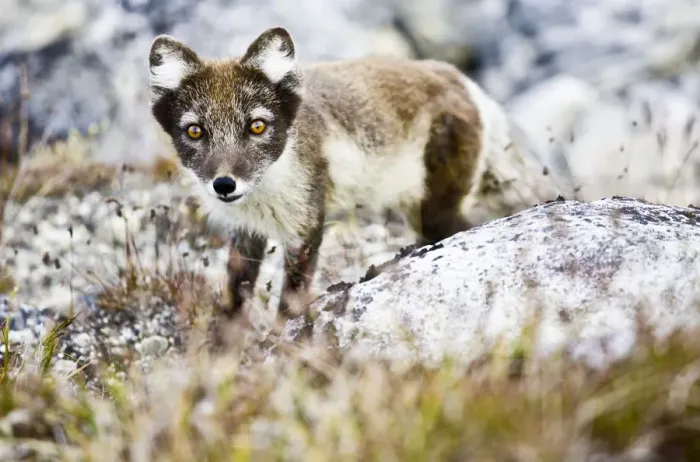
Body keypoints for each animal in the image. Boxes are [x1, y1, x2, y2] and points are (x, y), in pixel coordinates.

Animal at [147, 26, 563, 321]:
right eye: (195, 132)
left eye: (257, 127)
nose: (224, 185)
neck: (265, 192)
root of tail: (464, 81)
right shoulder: (245, 234)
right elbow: (235, 299)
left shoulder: (305, 228)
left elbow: (289, 302)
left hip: (437, 210)